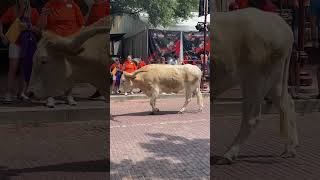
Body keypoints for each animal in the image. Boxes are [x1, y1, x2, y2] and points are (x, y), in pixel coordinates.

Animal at [211, 7, 298, 164]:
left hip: (257, 79)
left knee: (252, 117)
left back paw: (228, 154)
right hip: (274, 80)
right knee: (287, 104)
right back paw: (290, 148)